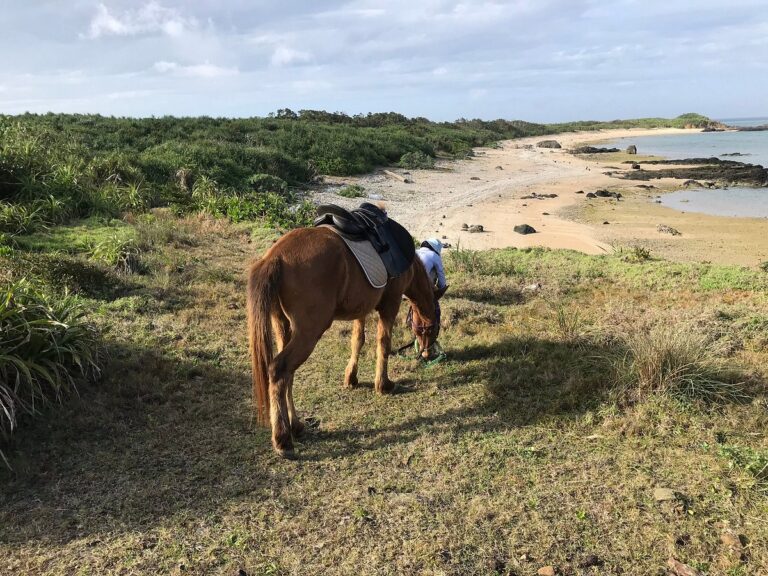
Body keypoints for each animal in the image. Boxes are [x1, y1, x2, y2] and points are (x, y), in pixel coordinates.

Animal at [246, 226, 437, 458]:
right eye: (434, 325)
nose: (428, 353)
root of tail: (276, 256)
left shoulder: (361, 309)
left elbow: (358, 340)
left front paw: (351, 377)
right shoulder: (389, 305)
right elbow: (384, 343)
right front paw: (383, 384)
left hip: (283, 327)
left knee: (287, 375)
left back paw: (295, 426)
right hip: (307, 334)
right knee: (279, 370)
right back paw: (283, 440)